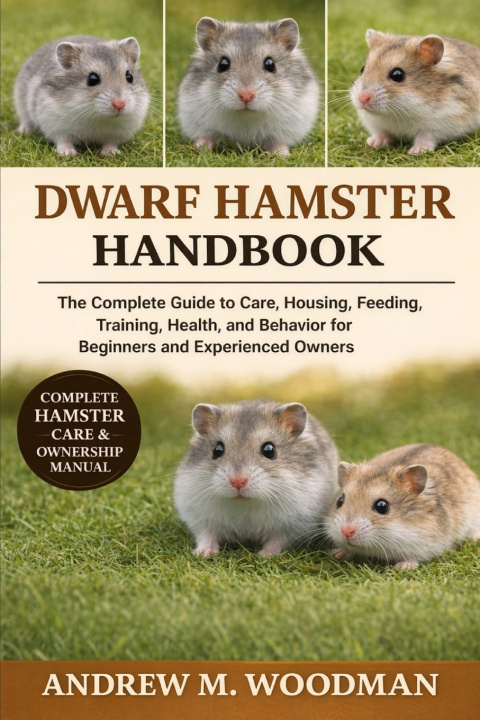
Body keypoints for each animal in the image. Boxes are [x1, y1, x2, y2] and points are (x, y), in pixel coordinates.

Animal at [14, 35, 150, 156]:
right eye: (92, 79)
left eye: (130, 77)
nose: (120, 104)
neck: (98, 116)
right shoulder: (54, 123)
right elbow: (63, 140)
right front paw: (68, 154)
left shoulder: (118, 133)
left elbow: (110, 142)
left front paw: (112, 153)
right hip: (21, 104)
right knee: (25, 119)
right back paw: (24, 131)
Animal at [174, 400, 338, 556]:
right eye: (217, 450)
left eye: (269, 450)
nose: (237, 481)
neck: (245, 502)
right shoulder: (201, 520)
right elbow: (206, 536)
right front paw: (203, 553)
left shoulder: (291, 526)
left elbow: (276, 540)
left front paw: (265, 555)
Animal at [177, 17, 320, 155]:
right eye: (223, 64)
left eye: (270, 64)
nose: (246, 96)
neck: (246, 116)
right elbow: (207, 136)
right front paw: (200, 147)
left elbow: (277, 143)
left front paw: (282, 155)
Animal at [326, 444, 480, 569]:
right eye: (340, 501)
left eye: (382, 506)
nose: (346, 531)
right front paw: (336, 553)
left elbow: (414, 557)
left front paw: (402, 567)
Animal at [350, 30, 480, 154]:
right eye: (362, 69)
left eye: (397, 75)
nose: (362, 98)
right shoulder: (374, 122)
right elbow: (381, 132)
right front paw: (372, 143)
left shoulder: (442, 123)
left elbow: (426, 137)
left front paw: (416, 152)